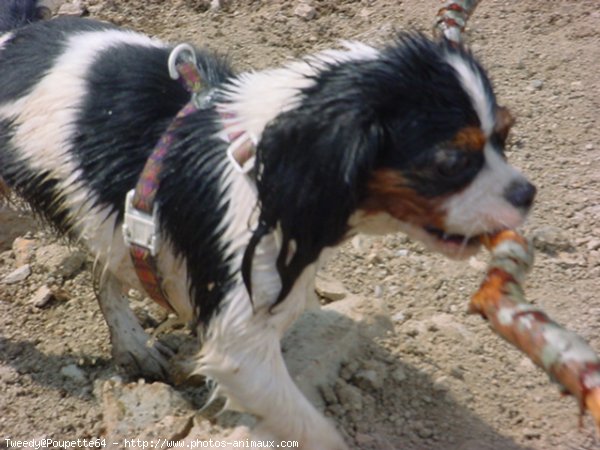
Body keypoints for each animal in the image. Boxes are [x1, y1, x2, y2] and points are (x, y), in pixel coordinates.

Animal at [0, 1, 536, 448]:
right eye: (451, 163)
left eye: (506, 136)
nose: (527, 194)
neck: (261, 162)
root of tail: (17, 31)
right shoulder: (239, 347)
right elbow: (314, 429)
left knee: (105, 267)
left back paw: (131, 343)